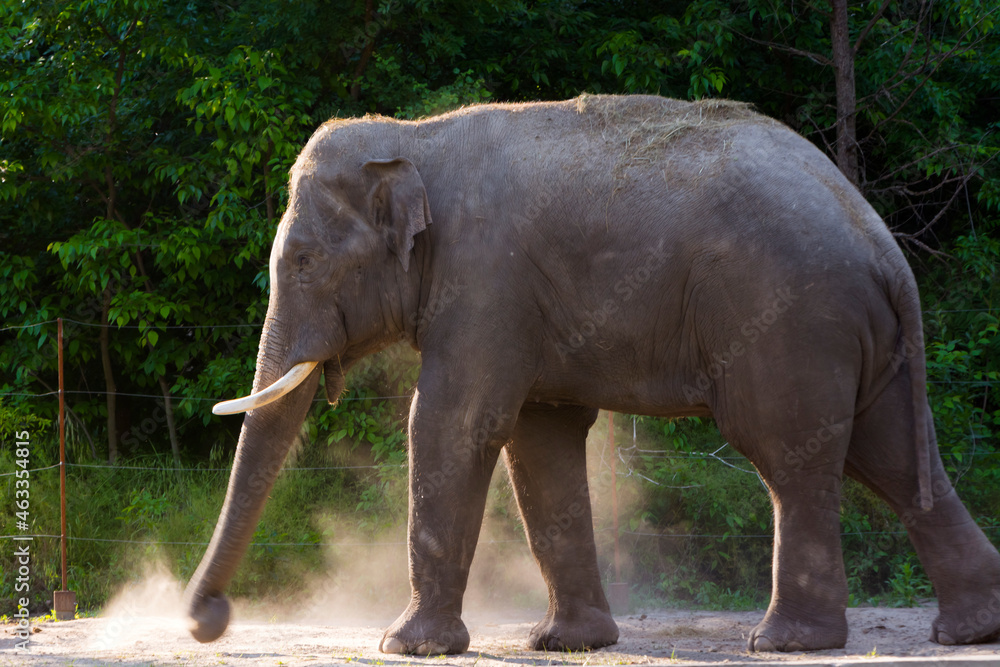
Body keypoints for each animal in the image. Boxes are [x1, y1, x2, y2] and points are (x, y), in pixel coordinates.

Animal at [184, 94, 1000, 654]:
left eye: (302, 262)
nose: (207, 622)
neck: (415, 136)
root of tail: (880, 240)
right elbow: (539, 440)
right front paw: (569, 643)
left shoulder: (487, 278)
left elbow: (454, 423)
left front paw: (407, 647)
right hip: (857, 338)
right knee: (890, 454)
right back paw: (968, 629)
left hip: (789, 322)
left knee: (791, 455)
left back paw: (785, 642)